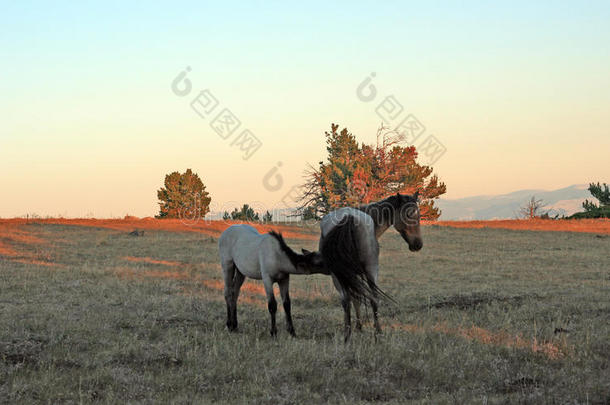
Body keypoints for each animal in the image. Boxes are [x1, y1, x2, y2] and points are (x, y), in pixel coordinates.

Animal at [316, 193, 420, 340]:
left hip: (338, 274)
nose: (418, 244)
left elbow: (356, 298)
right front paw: (360, 327)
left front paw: (357, 327)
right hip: (370, 271)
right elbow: (359, 298)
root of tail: (349, 216)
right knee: (371, 299)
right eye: (409, 215)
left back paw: (348, 335)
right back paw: (377, 332)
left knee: (346, 300)